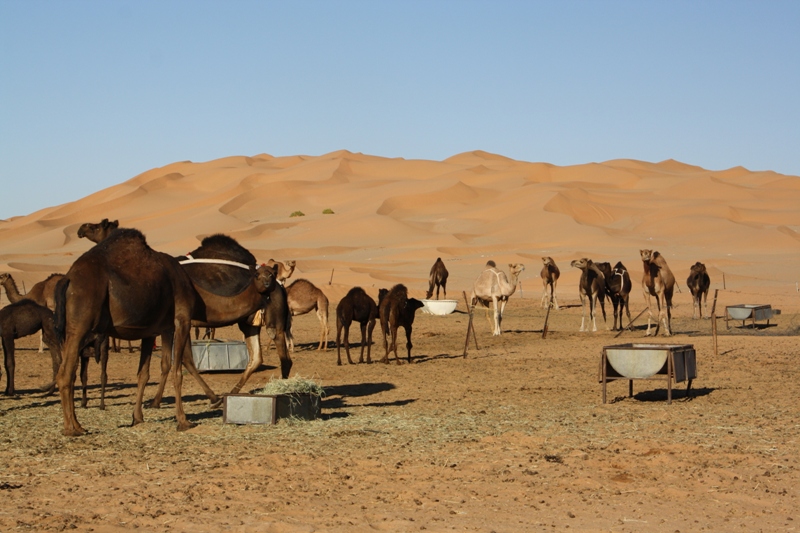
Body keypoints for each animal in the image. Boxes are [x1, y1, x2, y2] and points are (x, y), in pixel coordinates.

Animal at [53, 227, 203, 434]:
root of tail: (67, 279)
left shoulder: (150, 330)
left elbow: (143, 374)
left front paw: (137, 418)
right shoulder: (181, 320)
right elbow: (177, 371)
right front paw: (183, 421)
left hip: (72, 328)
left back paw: (77, 425)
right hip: (80, 324)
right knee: (65, 373)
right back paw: (72, 429)